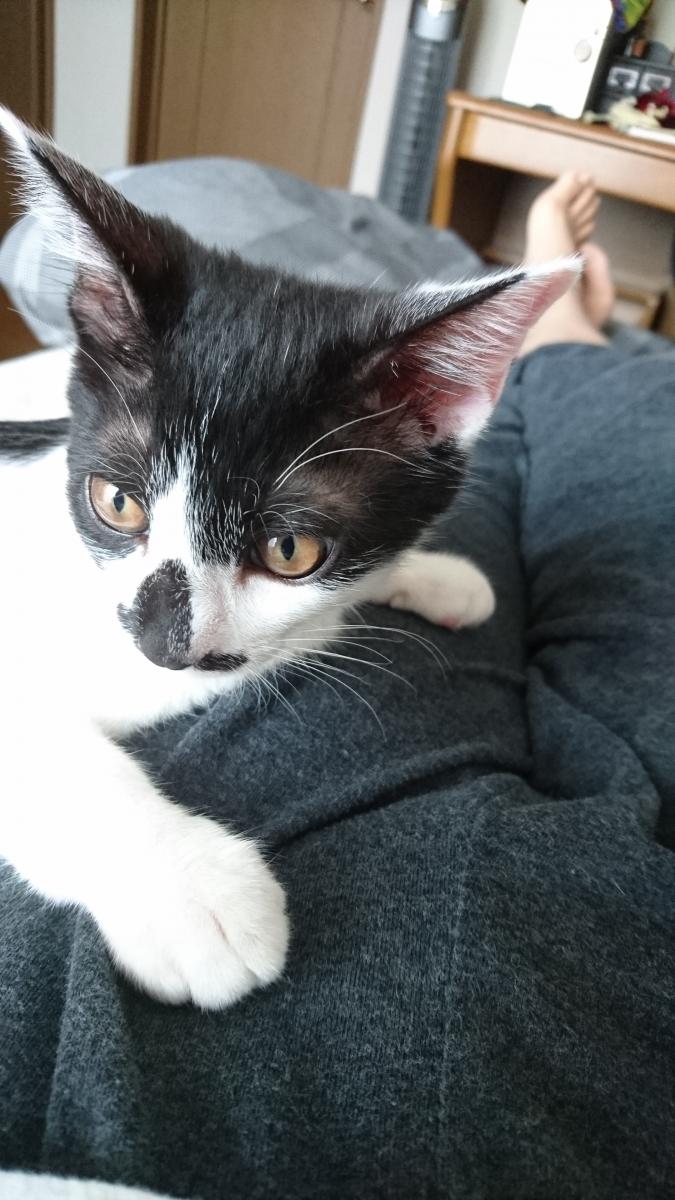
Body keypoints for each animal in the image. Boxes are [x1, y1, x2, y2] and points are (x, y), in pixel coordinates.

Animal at [0, 107, 575, 1009]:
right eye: (117, 503)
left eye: (290, 550)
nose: (164, 640)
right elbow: (37, 742)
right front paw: (189, 891)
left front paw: (434, 575)